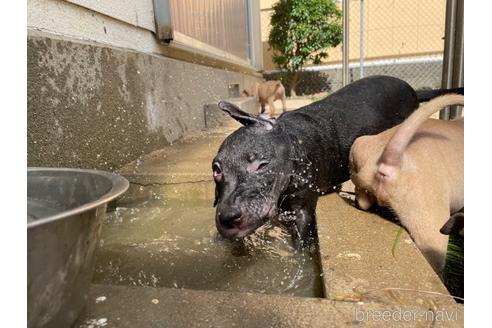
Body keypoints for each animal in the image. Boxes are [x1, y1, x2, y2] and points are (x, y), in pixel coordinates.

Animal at [213, 76, 464, 246]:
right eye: (216, 171)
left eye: (261, 165)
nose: (227, 217)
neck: (294, 143)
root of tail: (412, 89)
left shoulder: (303, 211)